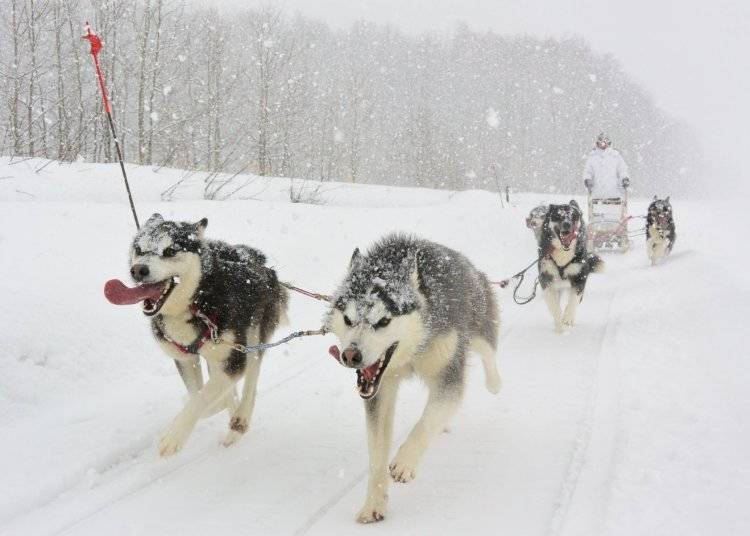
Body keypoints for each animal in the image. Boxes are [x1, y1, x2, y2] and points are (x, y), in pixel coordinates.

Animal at [107, 215, 290, 456]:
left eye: (170, 250)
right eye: (139, 249)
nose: (138, 270)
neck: (197, 303)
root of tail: (255, 257)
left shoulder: (234, 359)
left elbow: (202, 398)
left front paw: (173, 436)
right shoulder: (186, 358)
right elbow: (199, 394)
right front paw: (214, 405)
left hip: (252, 338)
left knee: (252, 378)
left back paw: (240, 419)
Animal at [326, 234, 502, 524]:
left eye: (383, 321)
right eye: (348, 319)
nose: (351, 355)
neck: (410, 353)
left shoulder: (448, 376)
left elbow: (426, 421)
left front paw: (405, 462)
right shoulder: (379, 392)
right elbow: (377, 452)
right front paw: (374, 503)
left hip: (478, 327)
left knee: (489, 352)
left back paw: (494, 383)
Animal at [536, 201, 608, 332]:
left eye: (574, 216)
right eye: (558, 216)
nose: (567, 224)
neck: (562, 252)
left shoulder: (579, 277)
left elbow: (573, 300)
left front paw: (568, 317)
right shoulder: (545, 278)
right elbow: (553, 305)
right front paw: (559, 323)